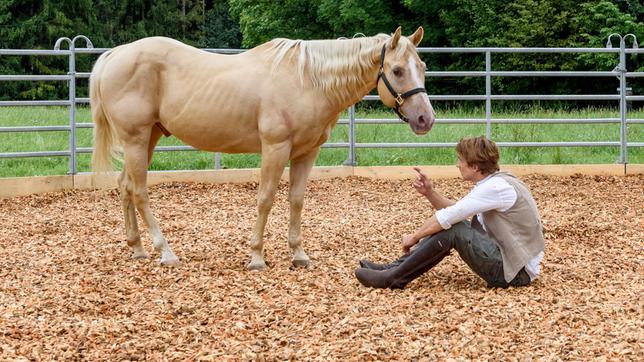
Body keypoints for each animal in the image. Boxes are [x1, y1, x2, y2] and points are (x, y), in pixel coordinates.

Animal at [90, 26, 436, 268]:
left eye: (422, 66)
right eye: (397, 70)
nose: (425, 119)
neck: (308, 81)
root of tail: (114, 55)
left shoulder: (307, 152)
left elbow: (296, 200)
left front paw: (299, 254)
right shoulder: (275, 148)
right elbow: (265, 199)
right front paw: (256, 256)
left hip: (148, 138)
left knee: (125, 186)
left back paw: (137, 248)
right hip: (136, 139)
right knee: (139, 192)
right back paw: (165, 251)